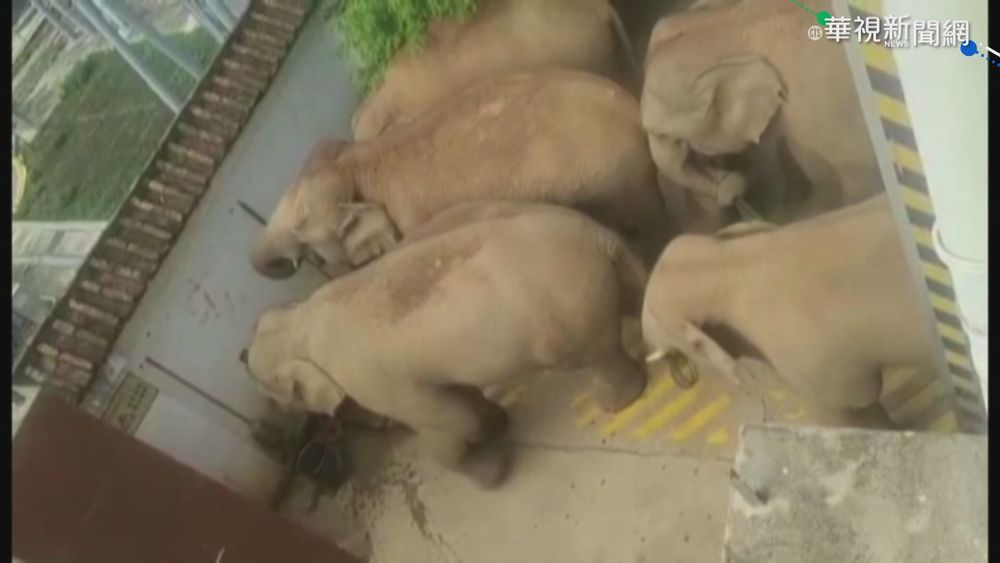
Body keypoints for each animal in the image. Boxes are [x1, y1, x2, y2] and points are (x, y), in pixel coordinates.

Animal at [242, 203, 649, 487]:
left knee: (598, 352)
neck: (302, 320)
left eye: (274, 391)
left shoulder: (371, 380)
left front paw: (493, 471)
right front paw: (496, 426)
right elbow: (459, 398)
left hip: (570, 314)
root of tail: (597, 235)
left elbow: (451, 420)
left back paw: (613, 401)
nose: (240, 353)